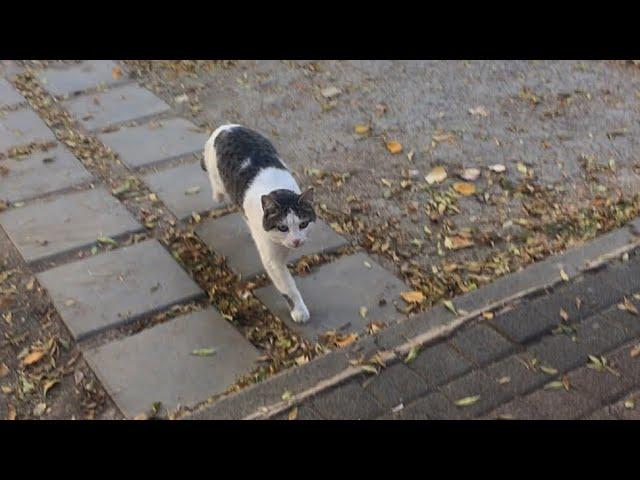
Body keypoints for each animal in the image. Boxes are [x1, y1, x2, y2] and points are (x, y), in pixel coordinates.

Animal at [202, 125, 316, 324]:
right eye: (282, 227)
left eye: (303, 224)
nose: (296, 241)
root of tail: (226, 127)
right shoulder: (273, 261)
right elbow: (288, 287)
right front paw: (299, 310)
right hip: (216, 176)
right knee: (217, 190)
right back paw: (218, 193)